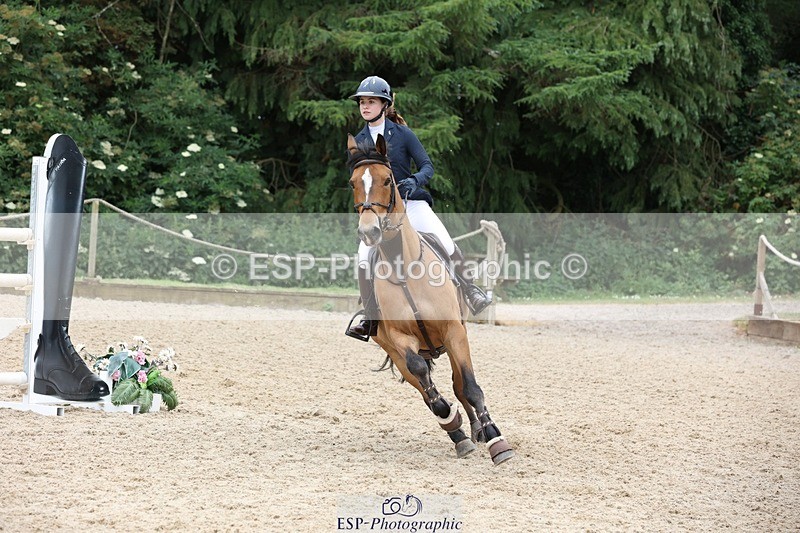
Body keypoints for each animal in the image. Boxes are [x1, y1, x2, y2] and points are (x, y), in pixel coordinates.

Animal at [346, 133, 514, 465]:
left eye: (388, 180)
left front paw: (495, 439)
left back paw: (476, 430)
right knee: (425, 388)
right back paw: (458, 434)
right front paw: (451, 418)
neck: (403, 266)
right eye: (353, 182)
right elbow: (426, 382)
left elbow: (470, 387)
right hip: (397, 352)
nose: (369, 232)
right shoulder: (400, 341)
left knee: (459, 385)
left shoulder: (454, 331)